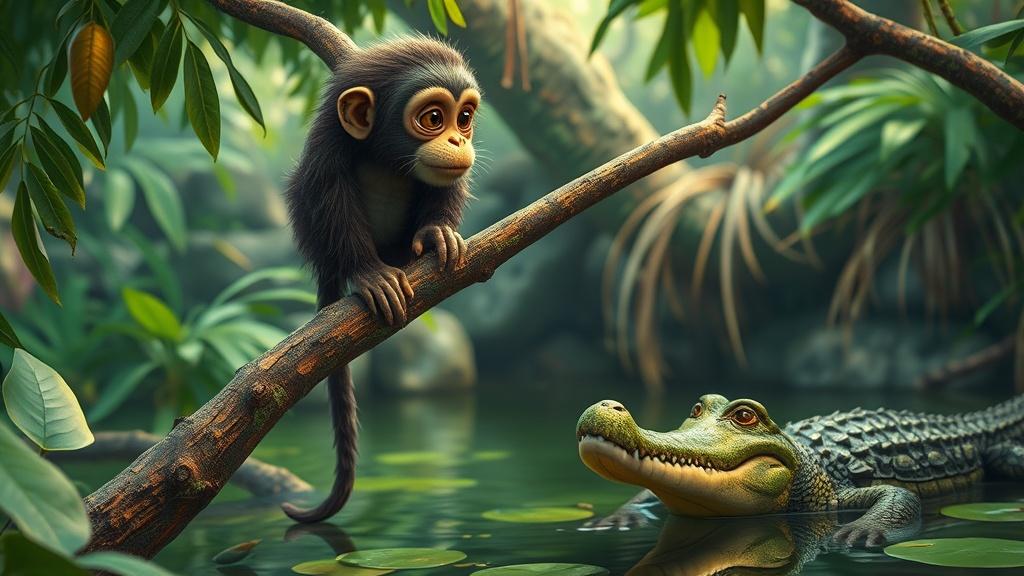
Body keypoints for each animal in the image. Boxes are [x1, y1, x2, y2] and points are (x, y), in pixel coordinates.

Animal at [280, 36, 480, 523]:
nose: (457, 139)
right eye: (433, 118)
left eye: (464, 118)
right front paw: (369, 273)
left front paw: (438, 233)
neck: (387, 159)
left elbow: (446, 190)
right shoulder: (328, 151)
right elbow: (325, 192)